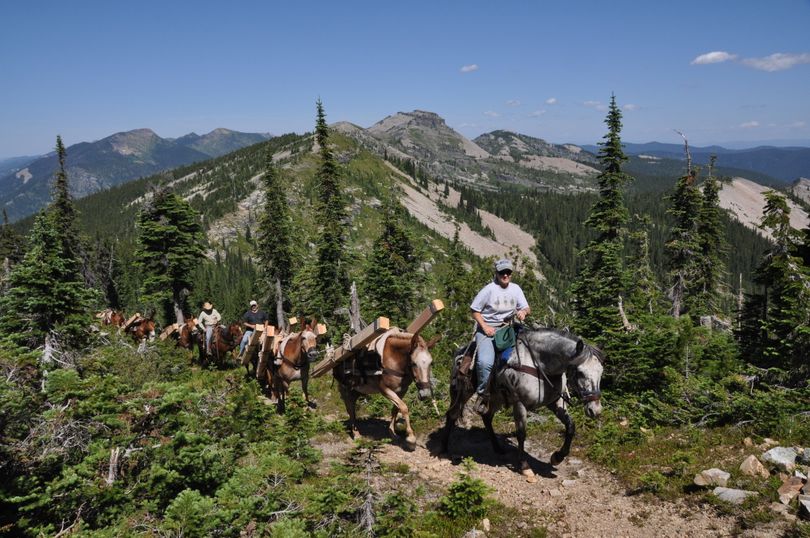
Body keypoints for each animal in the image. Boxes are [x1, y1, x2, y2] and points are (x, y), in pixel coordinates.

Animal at [438, 326, 604, 478]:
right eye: (580, 372)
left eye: (601, 371)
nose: (595, 410)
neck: (540, 365)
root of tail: (460, 351)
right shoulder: (519, 403)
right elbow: (521, 433)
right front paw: (524, 466)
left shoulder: (555, 403)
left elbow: (570, 427)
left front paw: (557, 457)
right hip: (462, 392)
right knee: (452, 414)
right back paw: (444, 449)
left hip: (496, 398)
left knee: (487, 417)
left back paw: (498, 448)